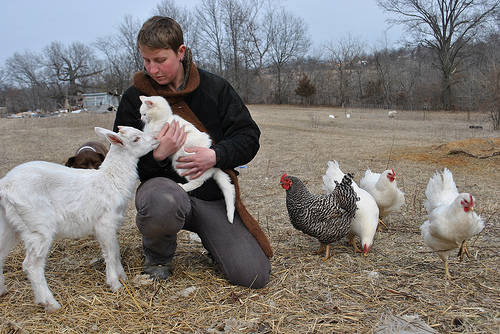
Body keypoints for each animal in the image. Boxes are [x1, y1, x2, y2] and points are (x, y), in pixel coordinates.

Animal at [0, 126, 158, 314]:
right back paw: (50, 303)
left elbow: (116, 249)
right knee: (31, 265)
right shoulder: (104, 222)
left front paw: (122, 276)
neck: (111, 179)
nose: (156, 139)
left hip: (11, 223)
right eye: (136, 139)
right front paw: (114, 283)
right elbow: (111, 251)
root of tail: (5, 187)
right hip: (37, 224)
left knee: (1, 253)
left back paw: (3, 291)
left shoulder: (112, 222)